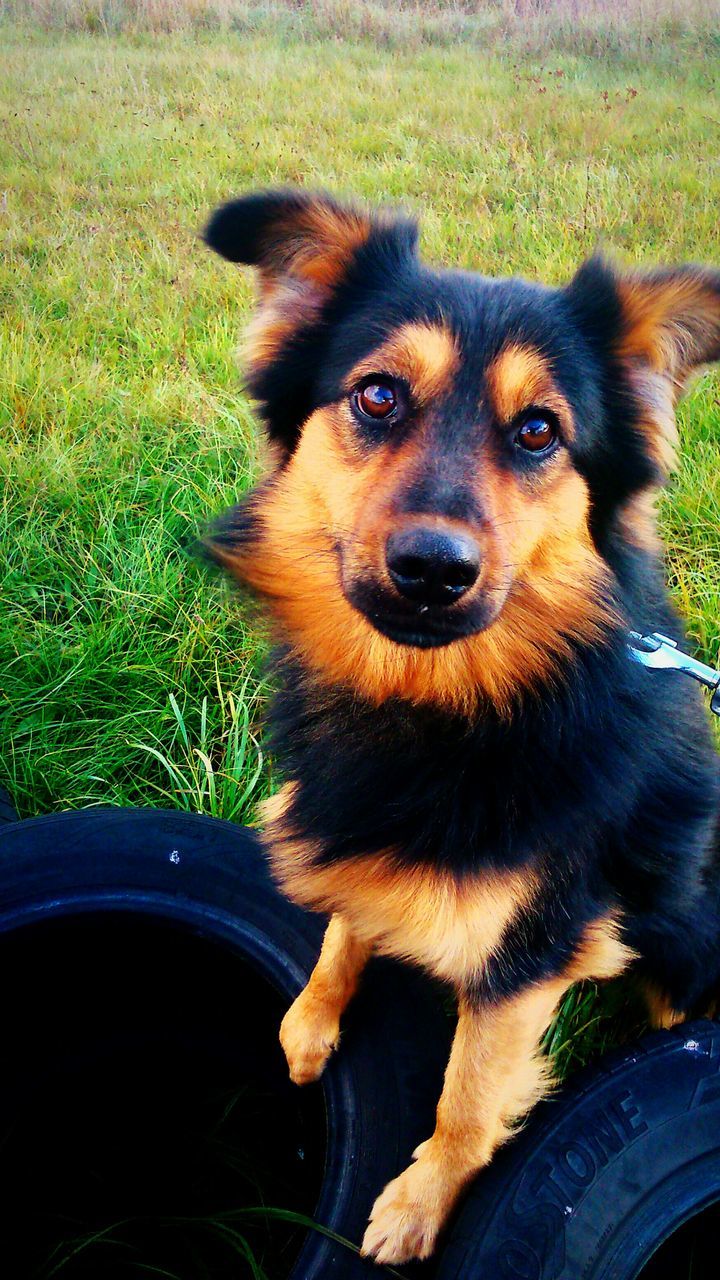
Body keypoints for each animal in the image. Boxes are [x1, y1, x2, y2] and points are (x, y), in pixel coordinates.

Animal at [199, 185, 717, 1264]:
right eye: (378, 395)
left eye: (539, 430)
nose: (432, 570)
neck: (439, 705)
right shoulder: (351, 827)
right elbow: (348, 923)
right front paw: (312, 1020)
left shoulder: (537, 947)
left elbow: (469, 1098)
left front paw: (415, 1205)